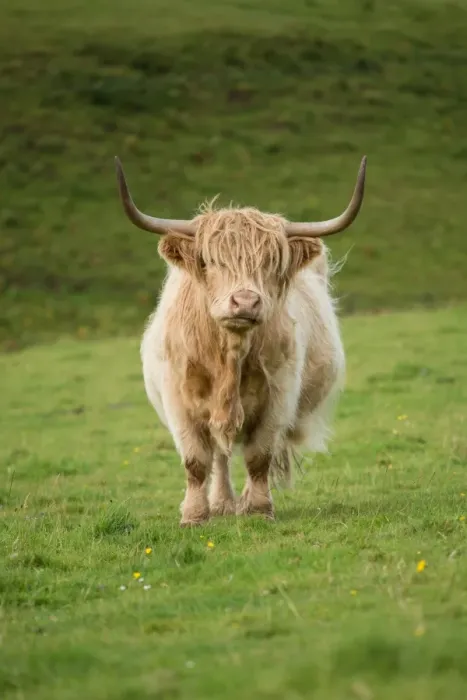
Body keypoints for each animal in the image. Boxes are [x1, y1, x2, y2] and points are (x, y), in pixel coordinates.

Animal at [115, 155, 366, 526]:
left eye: (272, 263)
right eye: (210, 261)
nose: (245, 302)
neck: (228, 357)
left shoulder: (278, 398)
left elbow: (258, 456)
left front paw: (259, 509)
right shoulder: (178, 401)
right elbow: (196, 461)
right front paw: (194, 515)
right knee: (220, 455)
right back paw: (221, 503)